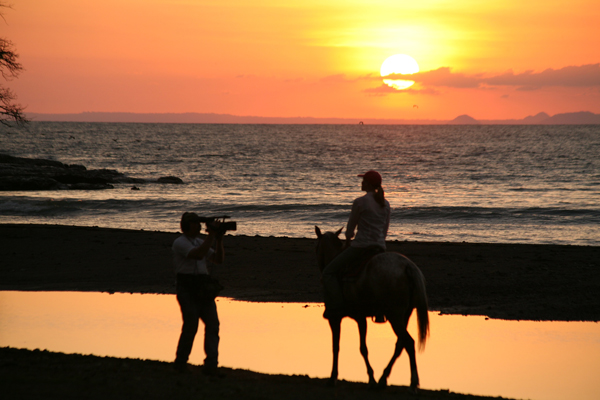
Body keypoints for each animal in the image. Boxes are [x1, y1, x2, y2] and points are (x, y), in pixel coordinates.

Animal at [316, 227, 428, 392]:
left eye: (317, 247)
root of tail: (407, 266)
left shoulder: (336, 318)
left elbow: (338, 347)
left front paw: (332, 378)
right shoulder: (361, 318)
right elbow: (363, 347)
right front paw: (372, 378)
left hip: (394, 315)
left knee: (408, 342)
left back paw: (413, 382)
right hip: (405, 315)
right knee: (400, 344)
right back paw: (383, 378)